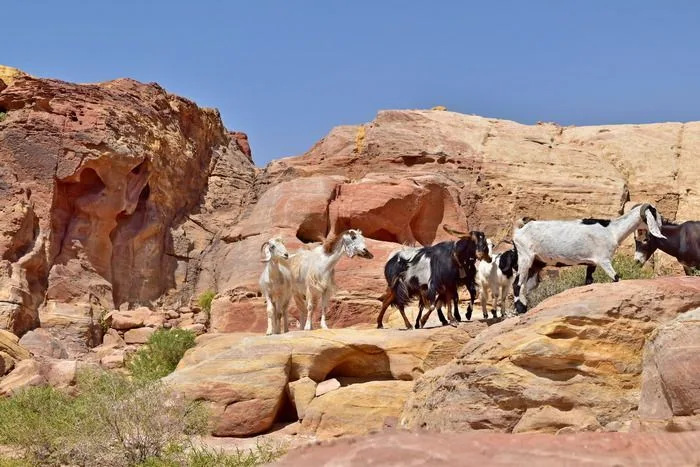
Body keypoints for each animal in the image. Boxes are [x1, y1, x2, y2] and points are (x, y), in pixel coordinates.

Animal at [511, 203, 666, 314]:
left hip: (537, 262)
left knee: (526, 286)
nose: (662, 223)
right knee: (517, 285)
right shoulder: (604, 260)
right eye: (655, 212)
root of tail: (519, 230)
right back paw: (521, 310)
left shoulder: (592, 263)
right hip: (525, 257)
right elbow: (616, 278)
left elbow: (589, 281)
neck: (612, 230)